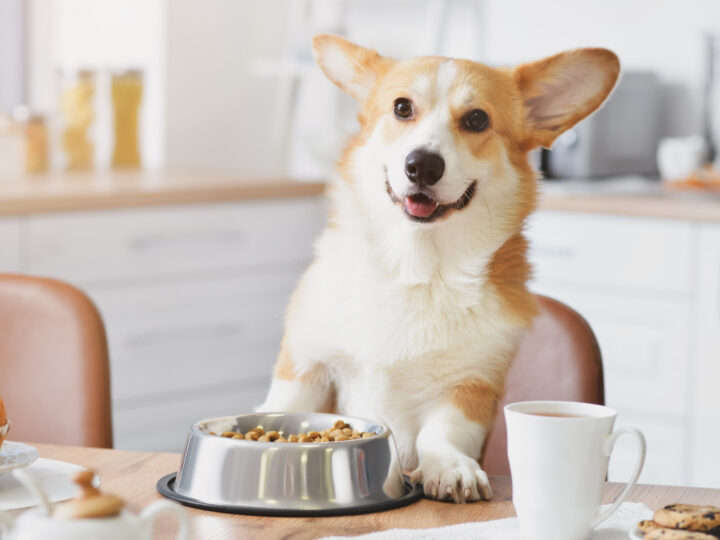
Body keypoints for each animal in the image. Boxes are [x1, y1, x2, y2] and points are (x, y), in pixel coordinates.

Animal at [258, 35, 620, 504]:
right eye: (401, 108)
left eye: (477, 119)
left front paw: (450, 468)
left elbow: (443, 433)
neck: (415, 267)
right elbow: (283, 407)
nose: (422, 165)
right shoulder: (306, 366)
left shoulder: (472, 387)